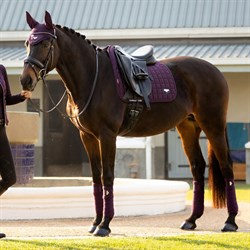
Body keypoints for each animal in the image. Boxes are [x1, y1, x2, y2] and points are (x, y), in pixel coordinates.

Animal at [20, 10, 238, 235]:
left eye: (46, 43)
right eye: (27, 43)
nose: (26, 80)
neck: (94, 78)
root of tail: (215, 71)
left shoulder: (107, 136)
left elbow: (108, 177)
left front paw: (105, 225)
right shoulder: (87, 137)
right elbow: (96, 178)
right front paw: (95, 222)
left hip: (213, 126)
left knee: (226, 167)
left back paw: (230, 221)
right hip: (188, 128)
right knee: (197, 167)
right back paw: (192, 219)